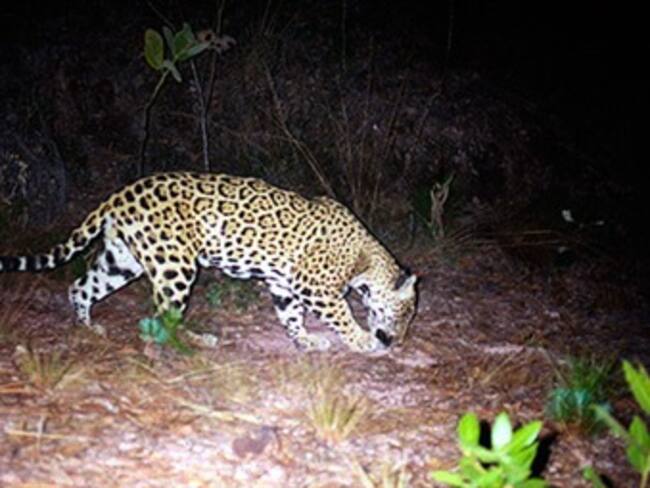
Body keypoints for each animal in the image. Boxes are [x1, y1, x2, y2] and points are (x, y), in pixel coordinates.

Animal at [0, 172, 417, 352]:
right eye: (403, 315)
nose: (396, 342)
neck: (366, 256)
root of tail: (122, 192)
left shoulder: (284, 284)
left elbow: (290, 315)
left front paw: (305, 340)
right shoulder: (316, 287)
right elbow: (342, 315)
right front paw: (362, 340)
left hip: (123, 260)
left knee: (81, 286)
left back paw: (87, 327)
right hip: (175, 265)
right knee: (165, 314)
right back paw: (197, 340)